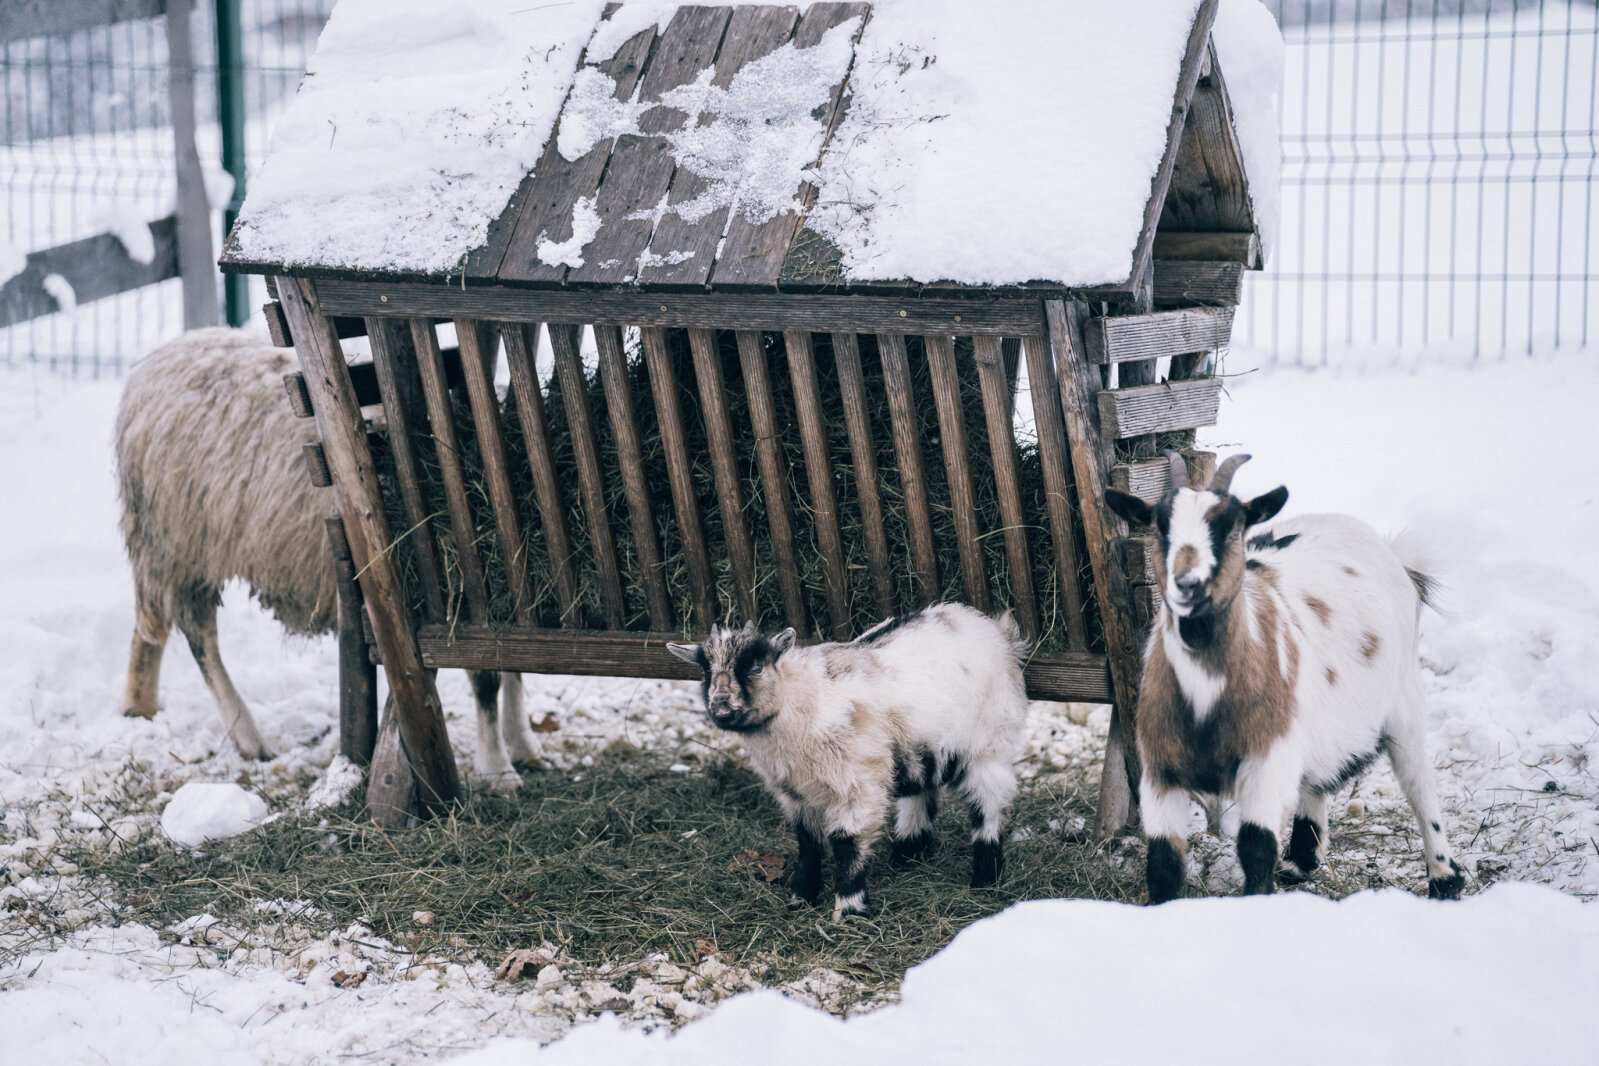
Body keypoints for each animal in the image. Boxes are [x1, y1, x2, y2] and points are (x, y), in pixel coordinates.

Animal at [115, 326, 537, 783]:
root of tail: (154, 361)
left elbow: (516, 667)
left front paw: (522, 742)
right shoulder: (458, 592)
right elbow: (488, 678)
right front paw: (498, 768)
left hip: (161, 546)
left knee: (149, 626)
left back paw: (139, 707)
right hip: (182, 546)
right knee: (199, 638)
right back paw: (248, 737)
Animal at [668, 604, 1029, 920]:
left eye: (756, 667)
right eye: (705, 671)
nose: (720, 706)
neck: (802, 700)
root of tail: (993, 628)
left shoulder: (856, 786)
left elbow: (846, 844)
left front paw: (849, 910)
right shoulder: (796, 793)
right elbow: (808, 843)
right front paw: (801, 897)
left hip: (988, 746)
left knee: (988, 809)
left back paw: (984, 878)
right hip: (918, 747)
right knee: (920, 792)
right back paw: (908, 856)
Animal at [1106, 453, 1464, 907]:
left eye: (1234, 528)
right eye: (1158, 528)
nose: (1188, 584)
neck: (1206, 700)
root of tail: (1393, 552)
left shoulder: (1266, 759)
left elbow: (1255, 848)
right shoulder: (1161, 771)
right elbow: (1163, 862)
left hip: (1405, 700)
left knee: (1420, 785)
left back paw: (1444, 879)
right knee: (1316, 778)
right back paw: (1301, 861)